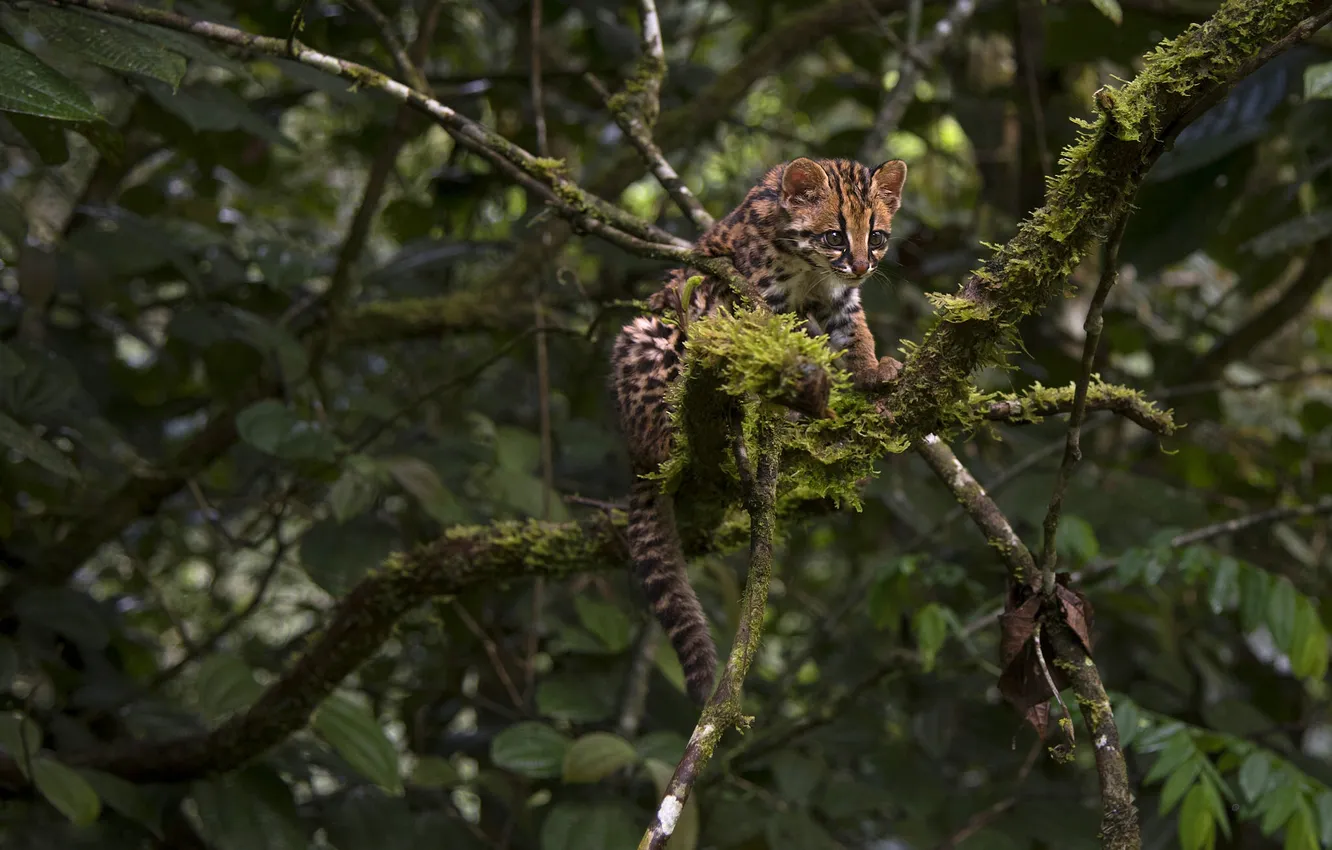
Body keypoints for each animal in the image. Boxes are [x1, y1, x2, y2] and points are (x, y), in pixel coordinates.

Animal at [610, 159, 905, 703]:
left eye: (875, 237)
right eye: (834, 236)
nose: (860, 267)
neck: (811, 269)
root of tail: (633, 452)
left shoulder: (840, 302)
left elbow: (856, 336)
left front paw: (873, 371)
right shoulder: (757, 299)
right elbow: (770, 351)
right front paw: (799, 408)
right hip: (654, 338)